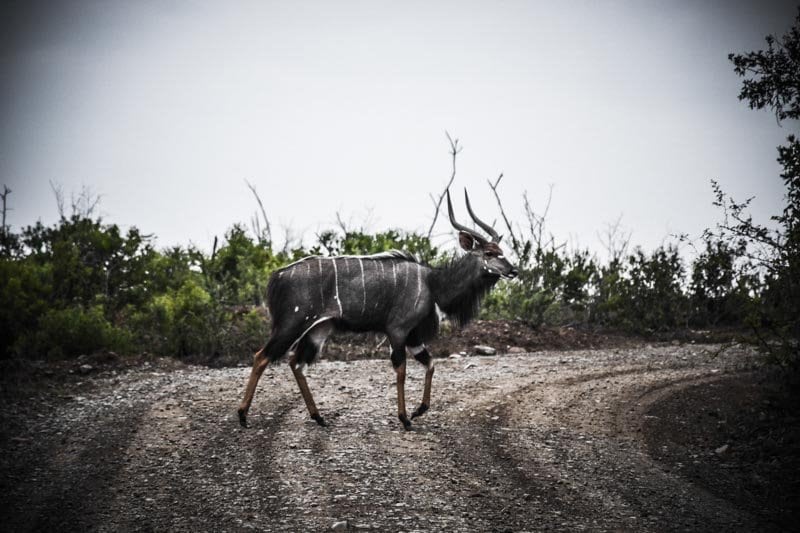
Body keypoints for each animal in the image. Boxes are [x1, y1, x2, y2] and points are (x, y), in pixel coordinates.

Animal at [236, 189, 520, 430]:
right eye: (489, 253)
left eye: (501, 251)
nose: (514, 270)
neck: (433, 283)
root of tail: (278, 276)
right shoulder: (397, 330)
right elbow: (401, 370)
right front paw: (405, 418)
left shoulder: (414, 337)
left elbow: (430, 364)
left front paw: (419, 410)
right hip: (292, 323)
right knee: (262, 356)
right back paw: (242, 416)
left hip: (319, 329)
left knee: (296, 362)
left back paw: (319, 417)